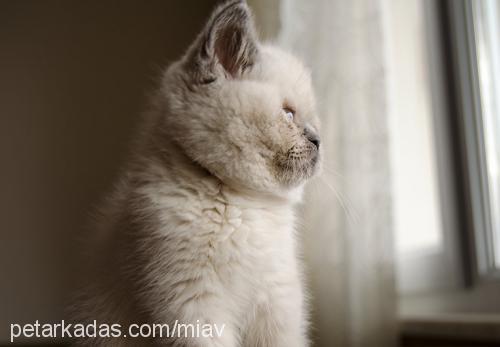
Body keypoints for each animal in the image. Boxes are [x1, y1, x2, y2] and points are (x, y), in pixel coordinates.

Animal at [71, 1, 320, 346]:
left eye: (312, 120)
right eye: (288, 114)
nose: (318, 141)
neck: (244, 205)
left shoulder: (275, 305)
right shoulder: (193, 306)